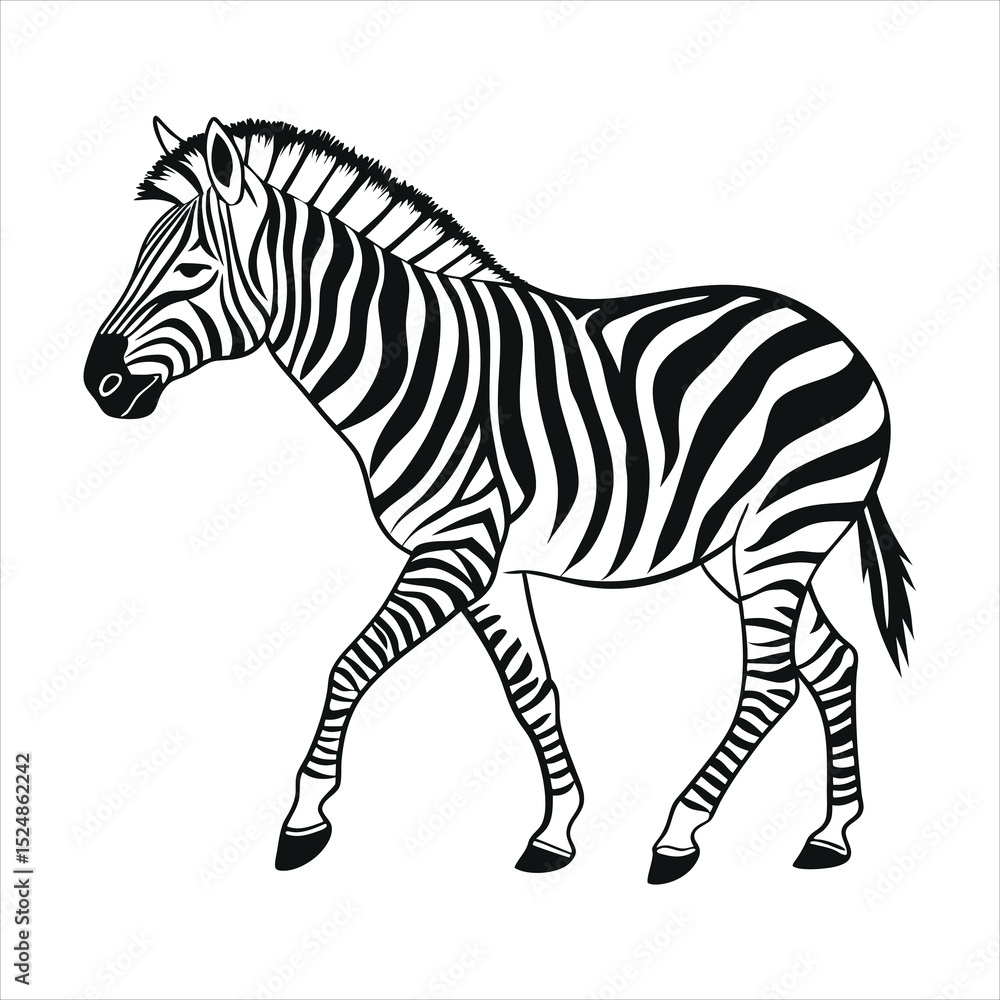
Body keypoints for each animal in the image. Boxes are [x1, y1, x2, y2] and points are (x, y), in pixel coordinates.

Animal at [85, 118, 914, 883]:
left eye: (192, 269)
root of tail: (833, 336)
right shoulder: (492, 568)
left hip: (783, 529)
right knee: (830, 660)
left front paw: (305, 819)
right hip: (739, 549)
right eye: (139, 260)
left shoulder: (458, 549)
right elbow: (531, 691)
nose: (100, 384)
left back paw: (680, 835)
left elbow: (350, 665)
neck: (410, 368)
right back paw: (831, 834)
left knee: (772, 682)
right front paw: (557, 831)